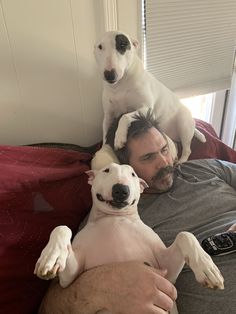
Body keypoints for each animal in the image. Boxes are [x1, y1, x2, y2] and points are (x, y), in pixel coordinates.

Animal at [34, 163, 223, 312]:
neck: (115, 218)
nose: (121, 190)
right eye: (106, 170)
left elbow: (185, 234)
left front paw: (207, 268)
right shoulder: (70, 278)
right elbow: (62, 228)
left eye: (133, 174)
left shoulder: (167, 274)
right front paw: (51, 257)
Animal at [94, 30, 206, 163]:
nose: (109, 74)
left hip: (184, 123)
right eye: (100, 47)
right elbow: (105, 135)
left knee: (187, 149)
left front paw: (119, 137)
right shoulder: (108, 116)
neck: (120, 86)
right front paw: (103, 150)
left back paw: (182, 161)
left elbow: (125, 116)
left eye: (122, 45)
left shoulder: (148, 110)